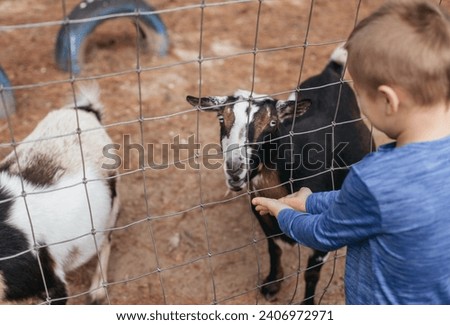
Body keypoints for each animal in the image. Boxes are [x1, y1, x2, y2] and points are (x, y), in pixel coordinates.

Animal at [185, 46, 372, 304]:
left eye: (272, 123)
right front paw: (272, 284)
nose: (235, 169)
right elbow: (274, 248)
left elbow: (311, 273)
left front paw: (307, 303)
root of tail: (330, 72)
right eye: (222, 119)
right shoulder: (261, 213)